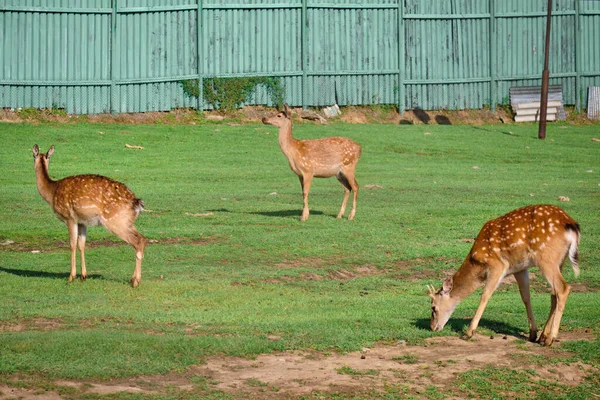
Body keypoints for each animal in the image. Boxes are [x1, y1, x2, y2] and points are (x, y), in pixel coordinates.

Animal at [31, 145, 148, 286]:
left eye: (32, 156)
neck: (52, 192)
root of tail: (137, 202)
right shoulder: (82, 221)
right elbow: (81, 245)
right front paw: (83, 275)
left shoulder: (69, 218)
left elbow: (72, 244)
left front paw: (71, 276)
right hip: (127, 221)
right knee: (143, 238)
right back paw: (134, 278)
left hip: (114, 220)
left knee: (138, 241)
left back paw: (135, 281)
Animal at [428, 205, 580, 346]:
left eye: (433, 307)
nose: (432, 328)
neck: (477, 261)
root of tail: (571, 225)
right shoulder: (519, 268)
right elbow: (526, 297)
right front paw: (532, 333)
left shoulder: (497, 265)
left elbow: (485, 295)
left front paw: (468, 333)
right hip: (559, 261)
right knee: (554, 293)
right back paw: (543, 336)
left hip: (546, 257)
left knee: (563, 288)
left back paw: (550, 339)